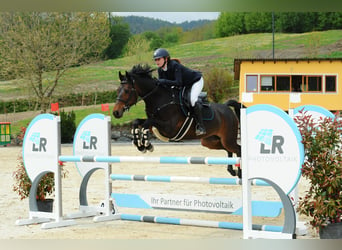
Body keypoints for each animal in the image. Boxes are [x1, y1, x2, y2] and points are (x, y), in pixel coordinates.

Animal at [113, 64, 242, 178]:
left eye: (127, 90)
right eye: (118, 90)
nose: (116, 113)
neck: (159, 99)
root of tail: (226, 107)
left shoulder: (169, 128)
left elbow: (146, 124)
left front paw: (147, 145)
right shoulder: (155, 125)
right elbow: (137, 122)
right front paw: (140, 145)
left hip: (227, 139)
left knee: (238, 149)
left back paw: (240, 173)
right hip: (210, 141)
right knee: (228, 149)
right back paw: (231, 170)